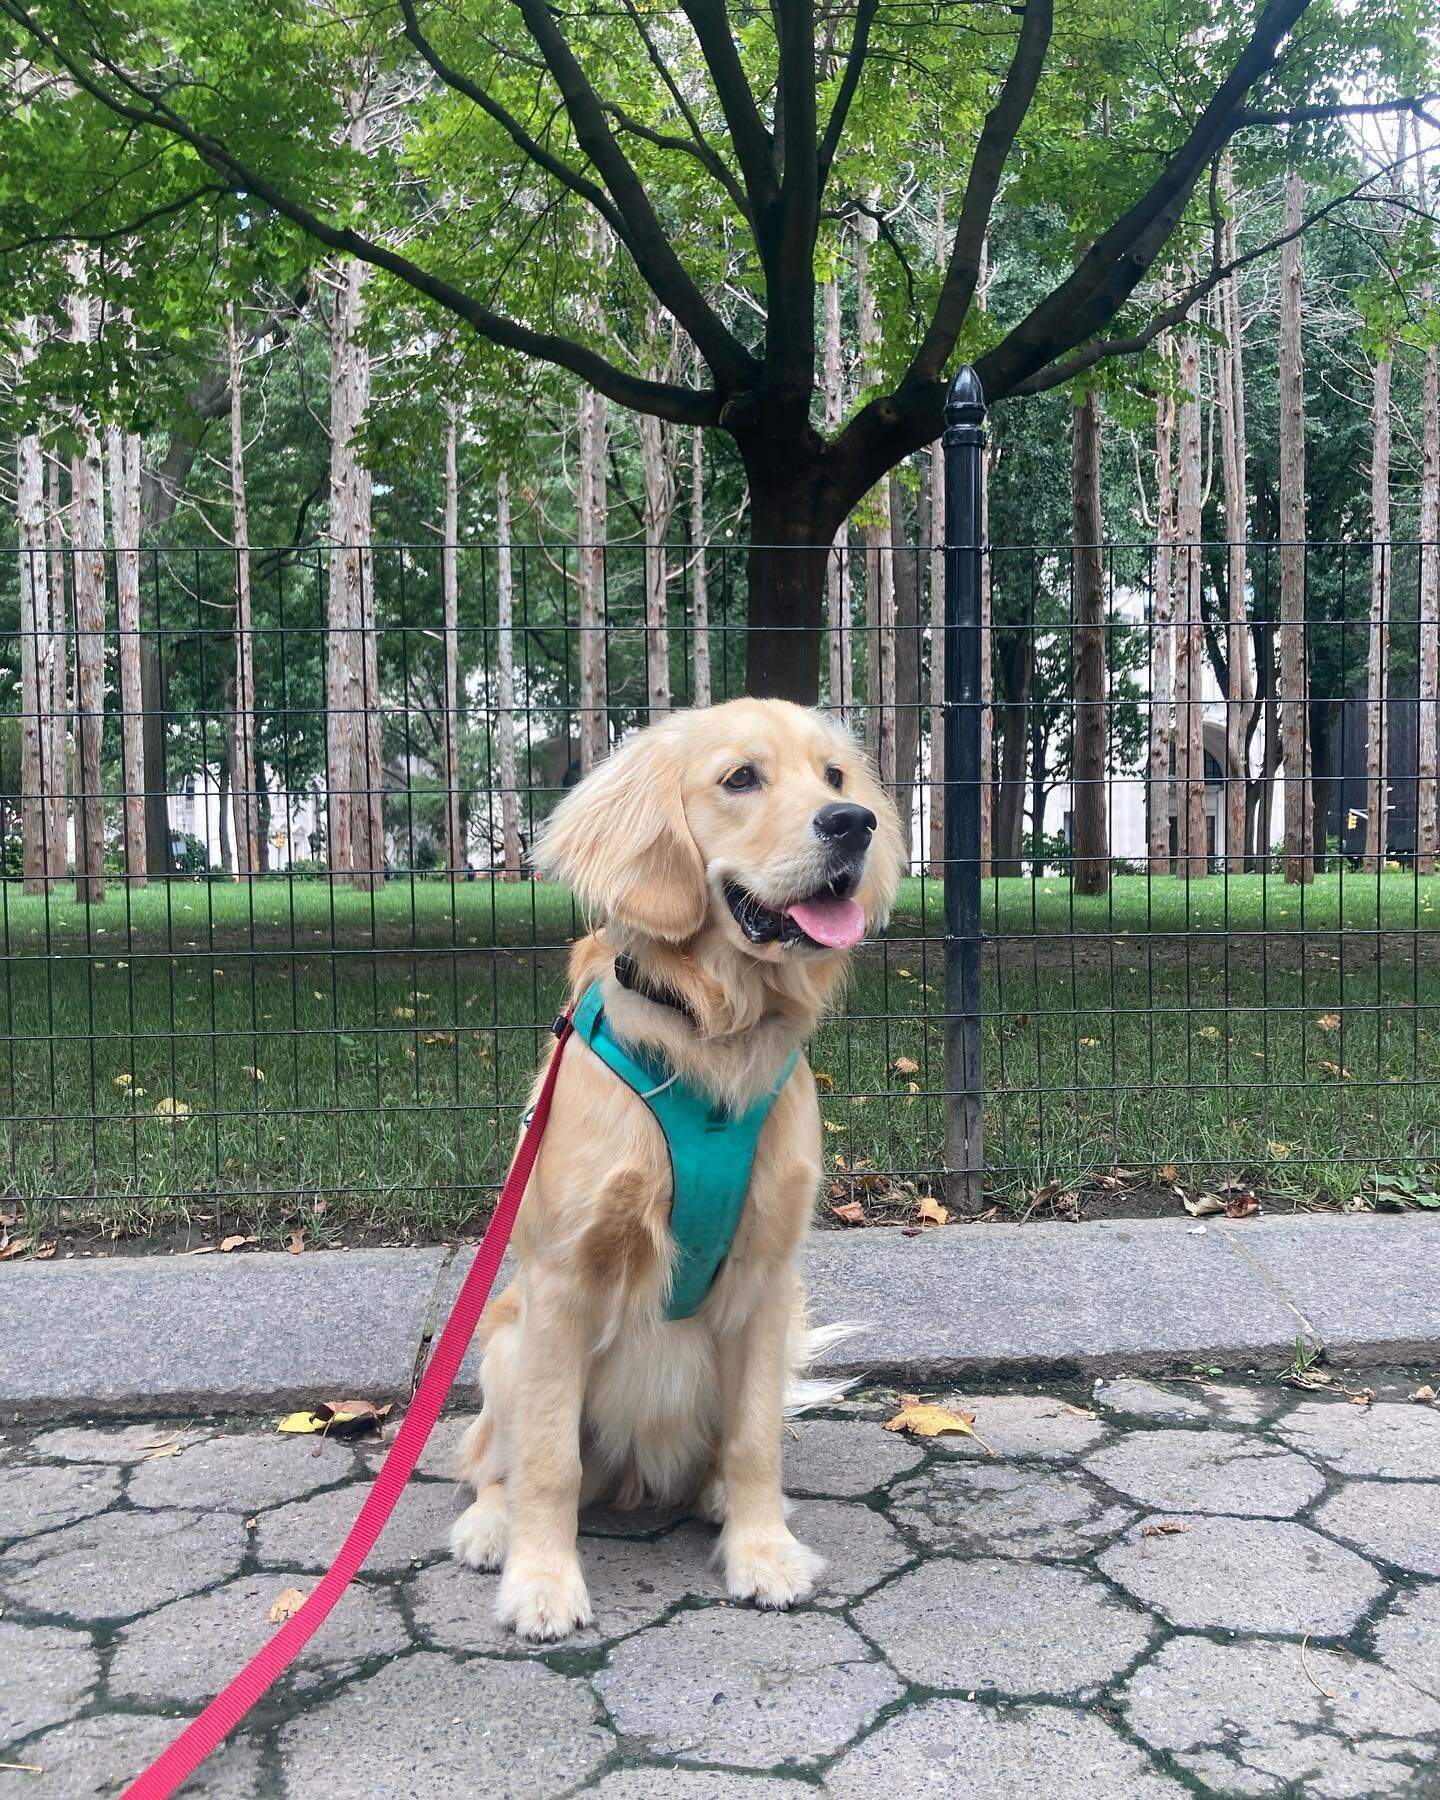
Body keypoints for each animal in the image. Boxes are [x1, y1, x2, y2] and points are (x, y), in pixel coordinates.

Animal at [450, 694, 900, 1641]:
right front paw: (542, 1581)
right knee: (491, 1461)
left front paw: (763, 1553)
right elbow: (548, 1459)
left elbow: (756, 1439)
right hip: (503, 1341)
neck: (713, 1031)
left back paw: (726, 1501)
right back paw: (490, 1526)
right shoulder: (560, 1284)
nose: (853, 823)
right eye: (741, 777)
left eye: (834, 775)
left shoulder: (768, 1279)